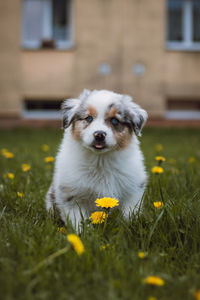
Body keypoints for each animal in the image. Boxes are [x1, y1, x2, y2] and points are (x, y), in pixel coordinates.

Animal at [46, 90, 148, 226]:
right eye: (89, 118)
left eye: (114, 120)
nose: (99, 134)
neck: (100, 160)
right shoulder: (71, 194)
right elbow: (77, 219)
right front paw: (82, 230)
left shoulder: (133, 190)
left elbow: (129, 214)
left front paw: (129, 226)